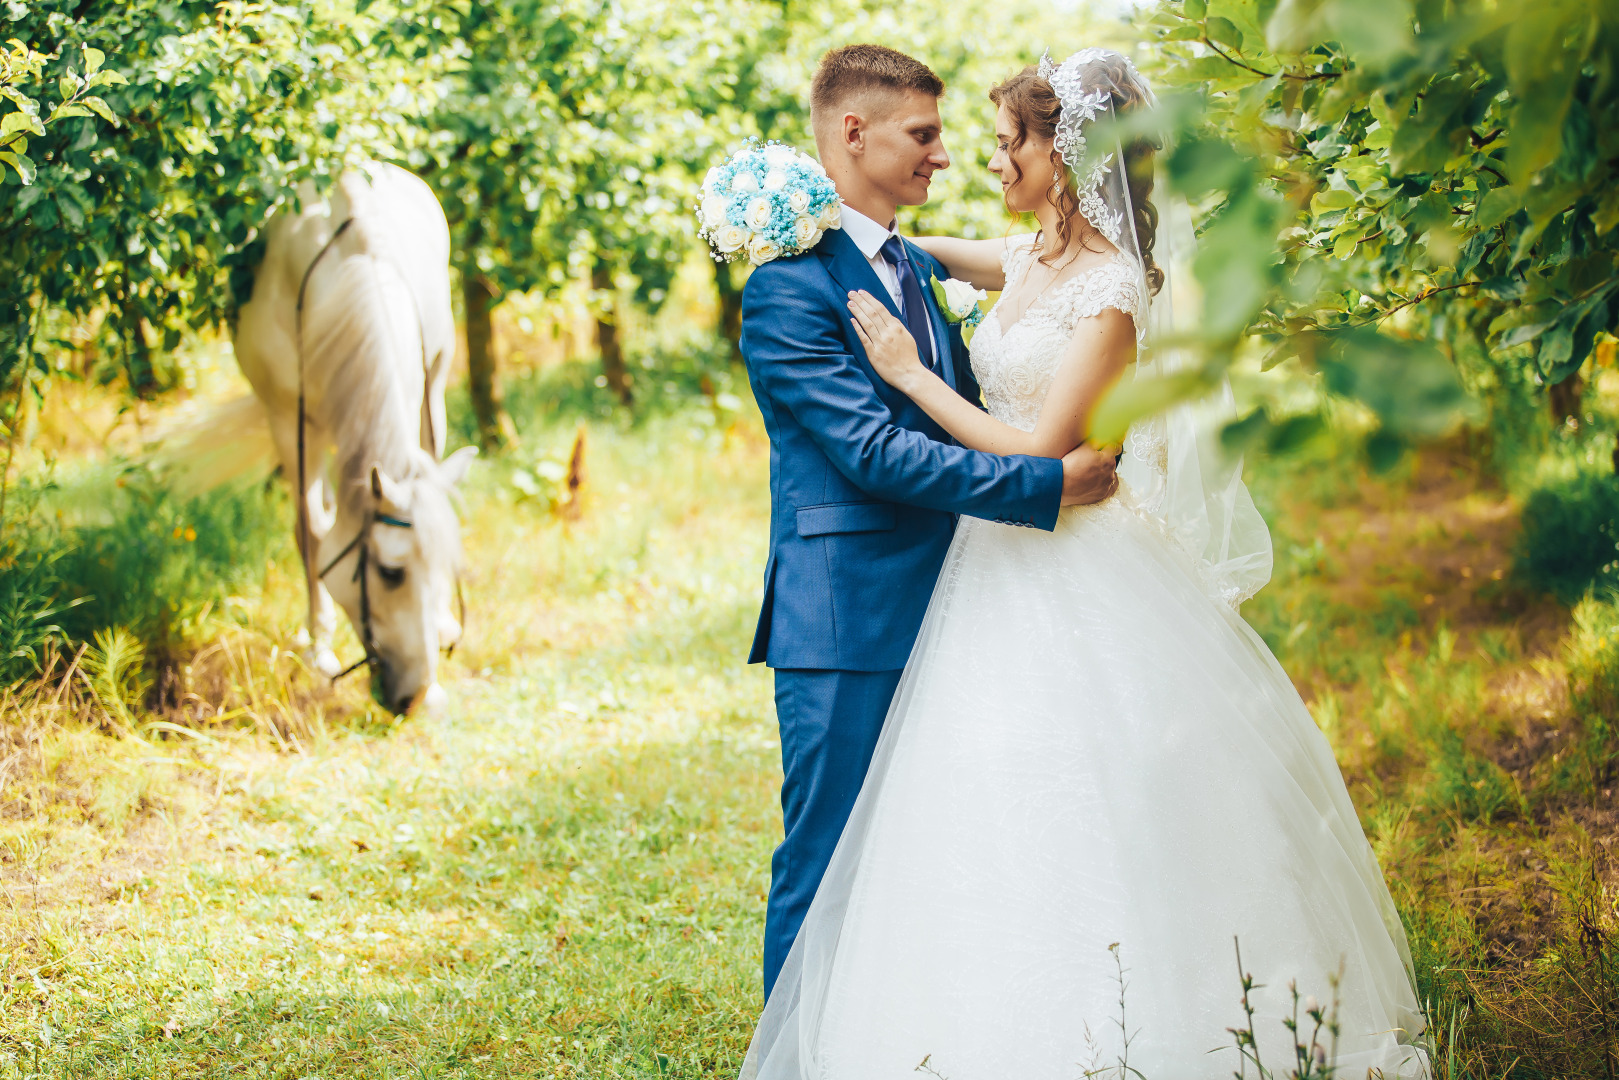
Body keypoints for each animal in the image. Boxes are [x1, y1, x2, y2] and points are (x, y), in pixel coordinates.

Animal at [234, 162, 472, 718]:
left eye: (448, 568)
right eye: (390, 573)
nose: (418, 697)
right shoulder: (289, 421)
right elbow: (312, 532)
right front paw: (319, 647)